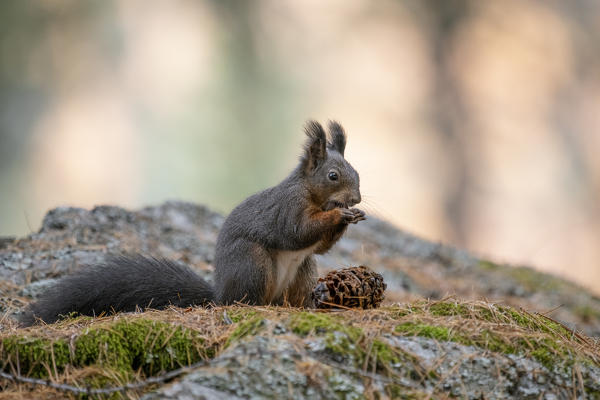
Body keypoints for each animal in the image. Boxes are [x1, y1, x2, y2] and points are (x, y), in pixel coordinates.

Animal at [18, 121, 364, 324]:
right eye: (333, 176)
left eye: (357, 172)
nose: (357, 199)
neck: (312, 195)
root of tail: (219, 296)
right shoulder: (287, 209)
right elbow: (297, 233)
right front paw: (339, 214)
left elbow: (319, 248)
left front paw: (350, 218)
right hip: (253, 263)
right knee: (249, 299)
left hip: (303, 272)